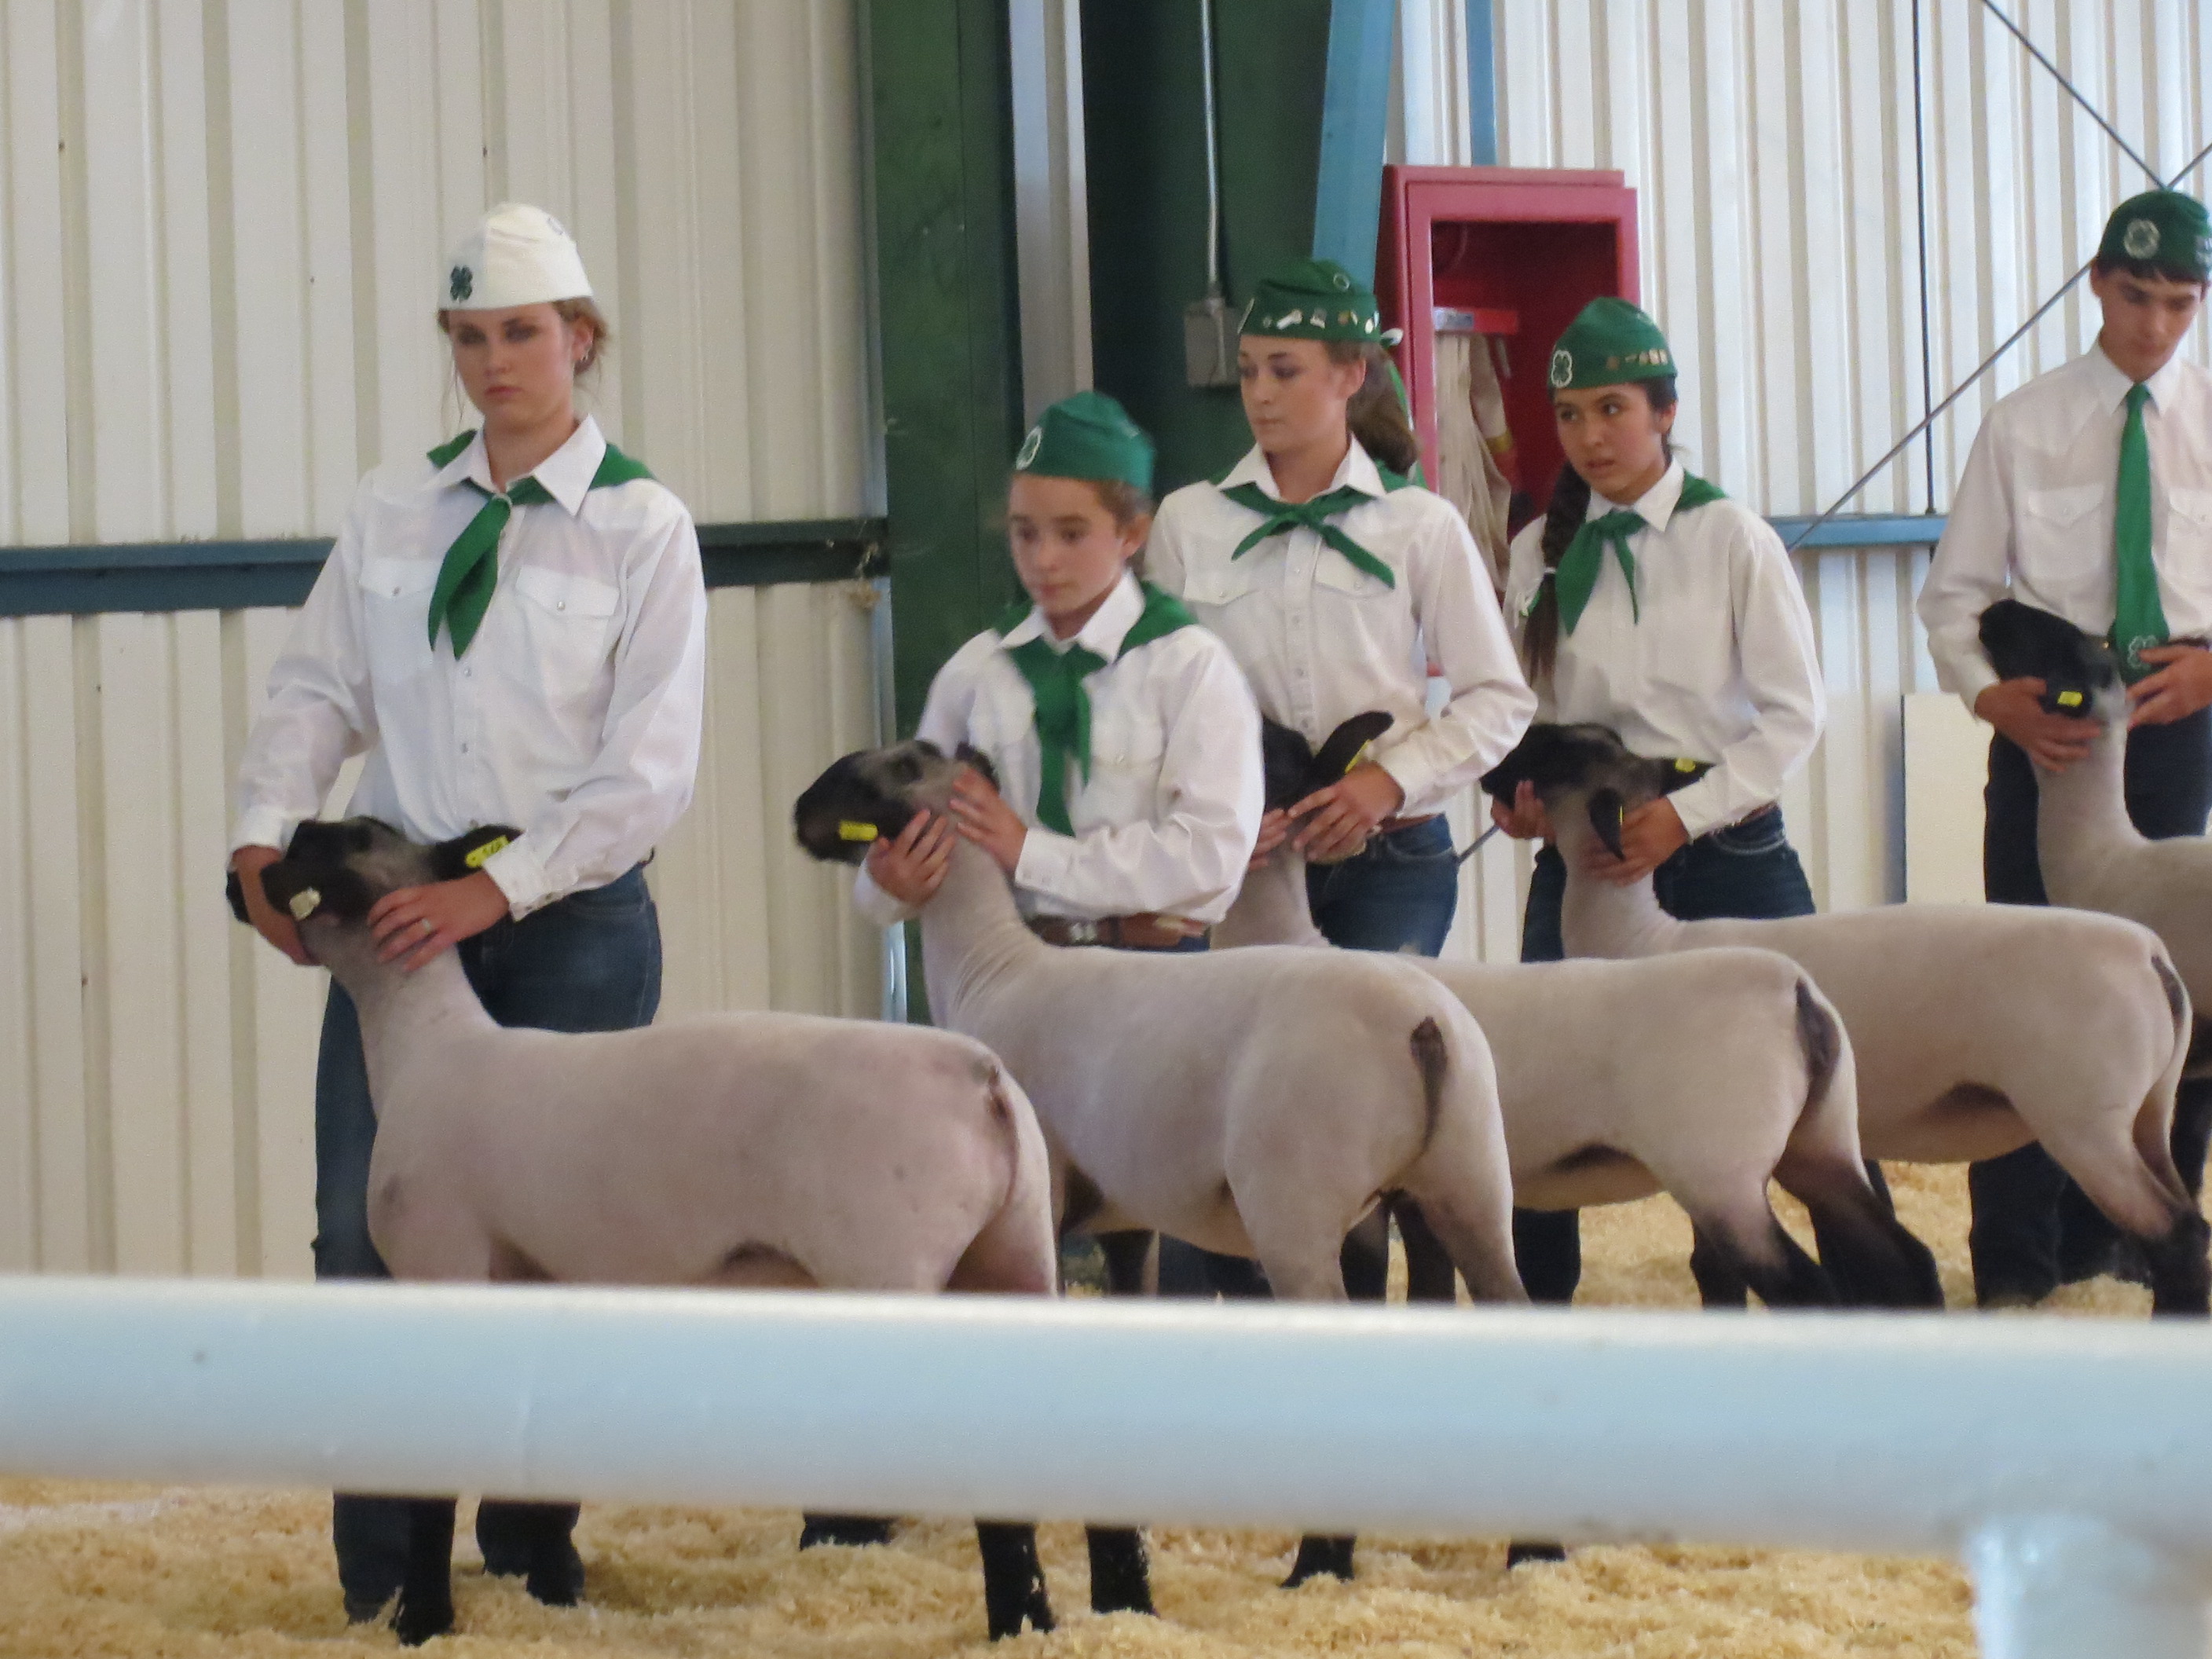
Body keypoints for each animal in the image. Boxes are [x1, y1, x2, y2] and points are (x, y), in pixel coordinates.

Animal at [229, 818, 1057, 1654]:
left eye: (339, 841)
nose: (240, 882)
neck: (423, 1045)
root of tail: (982, 1077)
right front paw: (547, 1594)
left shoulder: (441, 1268)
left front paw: (422, 1620)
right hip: (1014, 1256)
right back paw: (1034, 1623)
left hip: (897, 1269)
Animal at [792, 743, 1522, 1601]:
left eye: (869, 775)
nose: (799, 814)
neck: (990, 968)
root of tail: (1422, 1023)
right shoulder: (1124, 1220)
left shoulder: (1040, 1216)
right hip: (1469, 1180)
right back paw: (1529, 1553)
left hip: (1299, 1209)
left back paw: (1317, 1562)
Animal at [1221, 721, 1946, 1318]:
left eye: (1558, 754)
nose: (1499, 764)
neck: (1291, 940)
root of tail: (1794, 994)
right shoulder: (1425, 1187)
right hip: (1822, 1145)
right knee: (1905, 1260)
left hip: (1722, 1173)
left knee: (1806, 1286)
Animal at [1486, 721, 2212, 1318]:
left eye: (1554, 750)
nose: (1494, 779)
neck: (1642, 937)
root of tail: (2151, 957)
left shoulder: (1710, 1159)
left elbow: (1716, 1270)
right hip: (2148, 1111)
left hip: (2087, 1123)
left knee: (2172, 1234)